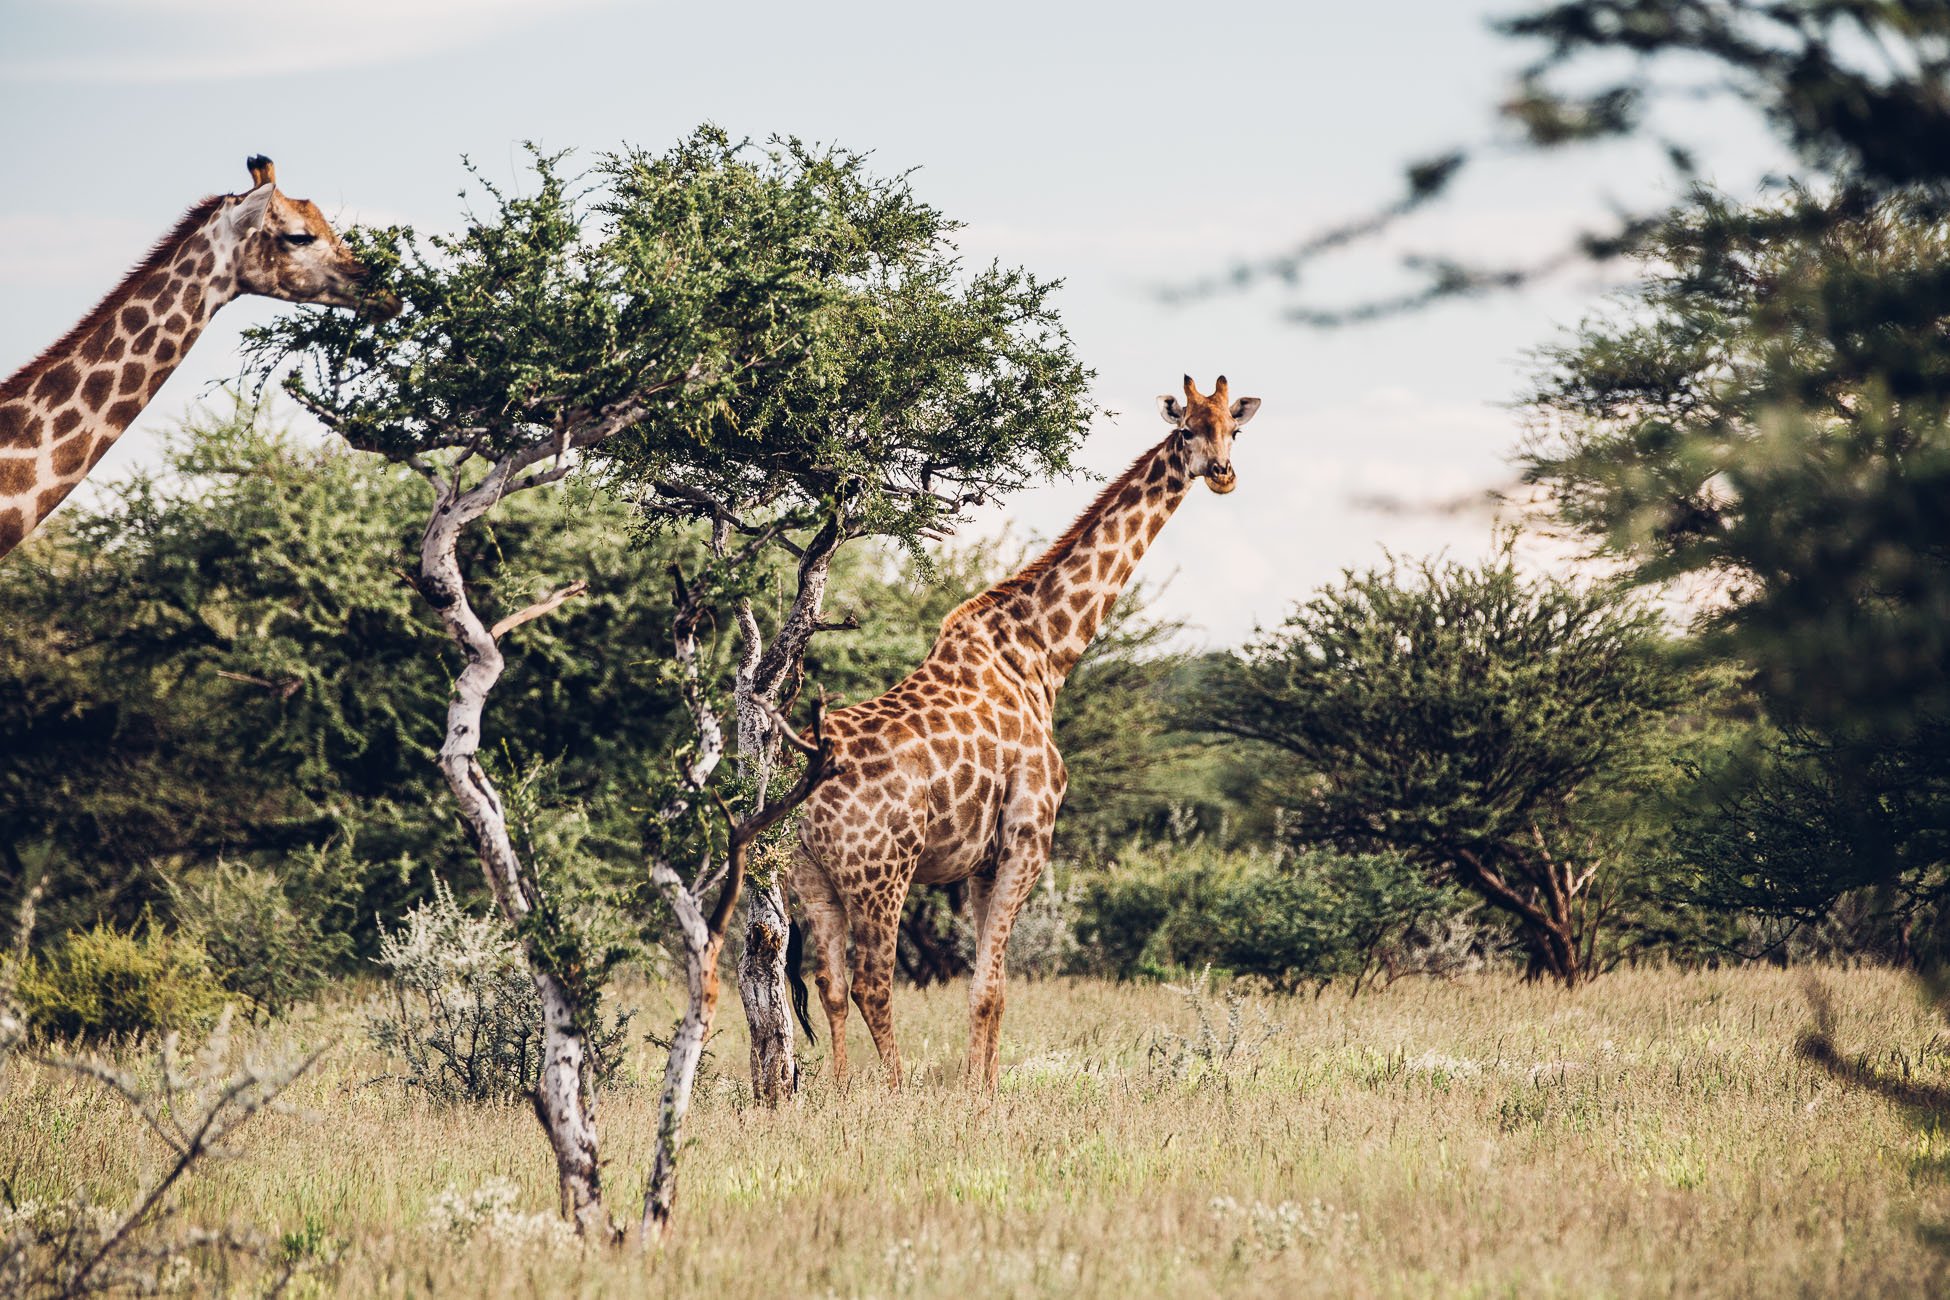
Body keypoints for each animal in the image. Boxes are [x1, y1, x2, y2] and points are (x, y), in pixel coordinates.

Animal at [791, 374, 1263, 1091]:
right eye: (1187, 430)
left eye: (1233, 430)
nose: (1223, 474)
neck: (1043, 655)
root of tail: (810, 774)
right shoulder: (1029, 838)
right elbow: (990, 987)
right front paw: (979, 1094)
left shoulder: (982, 860)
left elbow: (989, 988)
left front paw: (980, 1088)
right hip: (882, 872)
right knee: (873, 981)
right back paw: (894, 1092)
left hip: (810, 875)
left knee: (833, 984)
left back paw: (843, 1093)